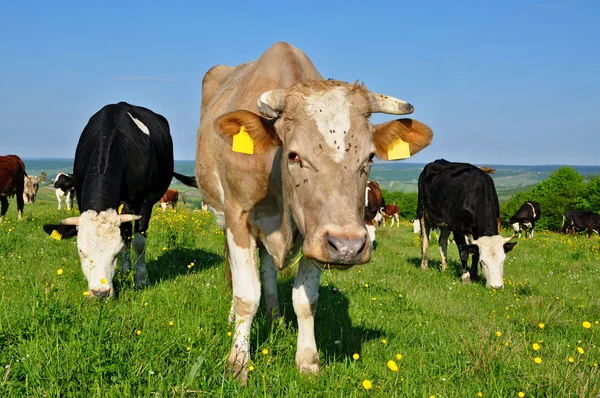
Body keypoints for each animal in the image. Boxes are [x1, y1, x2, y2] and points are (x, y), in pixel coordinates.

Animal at [41, 102, 173, 298]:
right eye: (80, 250)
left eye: (115, 253)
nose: (100, 293)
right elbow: (126, 237)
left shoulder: (146, 201)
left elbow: (139, 242)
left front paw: (141, 280)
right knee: (126, 233)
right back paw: (126, 270)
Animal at [192, 41, 432, 382]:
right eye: (294, 155)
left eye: (370, 157)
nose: (348, 246)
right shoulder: (238, 217)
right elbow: (246, 295)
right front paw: (237, 362)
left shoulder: (317, 235)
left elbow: (305, 299)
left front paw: (307, 360)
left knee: (268, 269)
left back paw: (276, 319)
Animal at [418, 159, 516, 290]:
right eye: (483, 262)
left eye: (503, 260)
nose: (496, 287)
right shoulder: (458, 228)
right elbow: (464, 252)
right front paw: (466, 277)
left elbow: (474, 252)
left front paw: (474, 274)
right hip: (422, 211)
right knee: (425, 239)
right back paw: (424, 266)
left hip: (446, 223)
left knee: (442, 241)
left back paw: (445, 267)